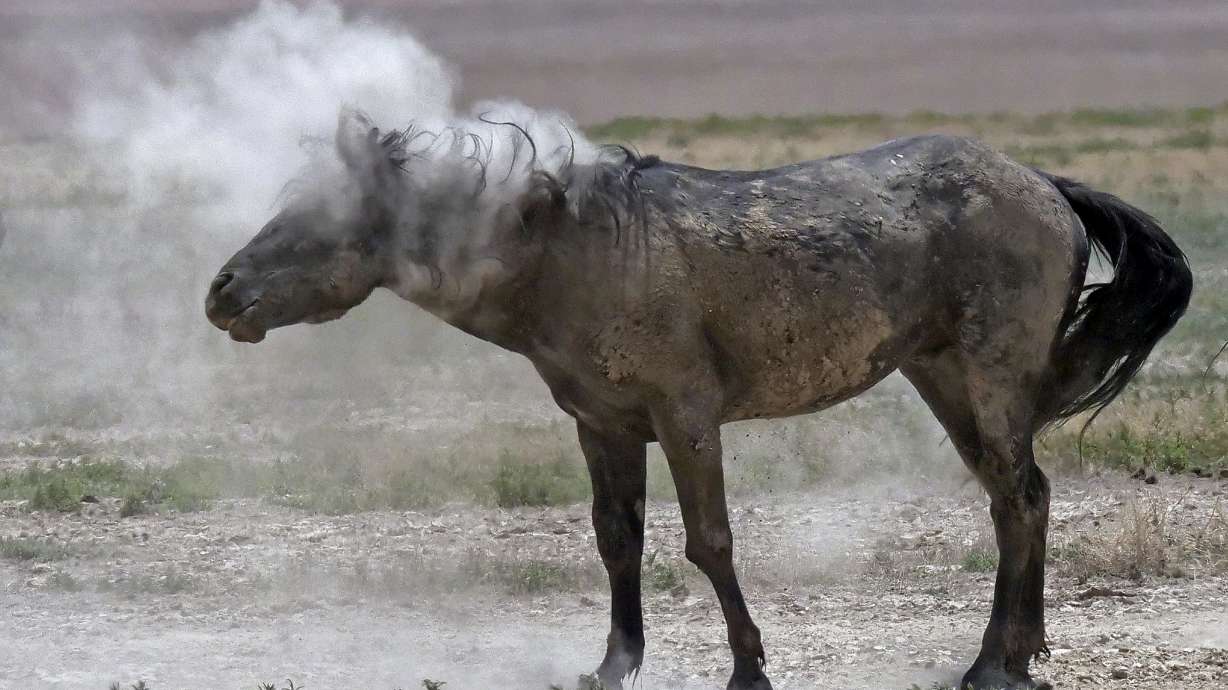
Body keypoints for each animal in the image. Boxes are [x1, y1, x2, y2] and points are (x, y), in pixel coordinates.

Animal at [206, 110, 1192, 690]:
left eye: (319, 220)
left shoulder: (686, 419)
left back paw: (995, 664)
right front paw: (613, 665)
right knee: (1021, 500)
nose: (221, 293)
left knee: (1020, 499)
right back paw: (1020, 651)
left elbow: (708, 543)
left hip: (987, 383)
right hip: (946, 382)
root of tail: (1048, 185)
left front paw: (748, 669)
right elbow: (617, 542)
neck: (578, 250)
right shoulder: (603, 427)